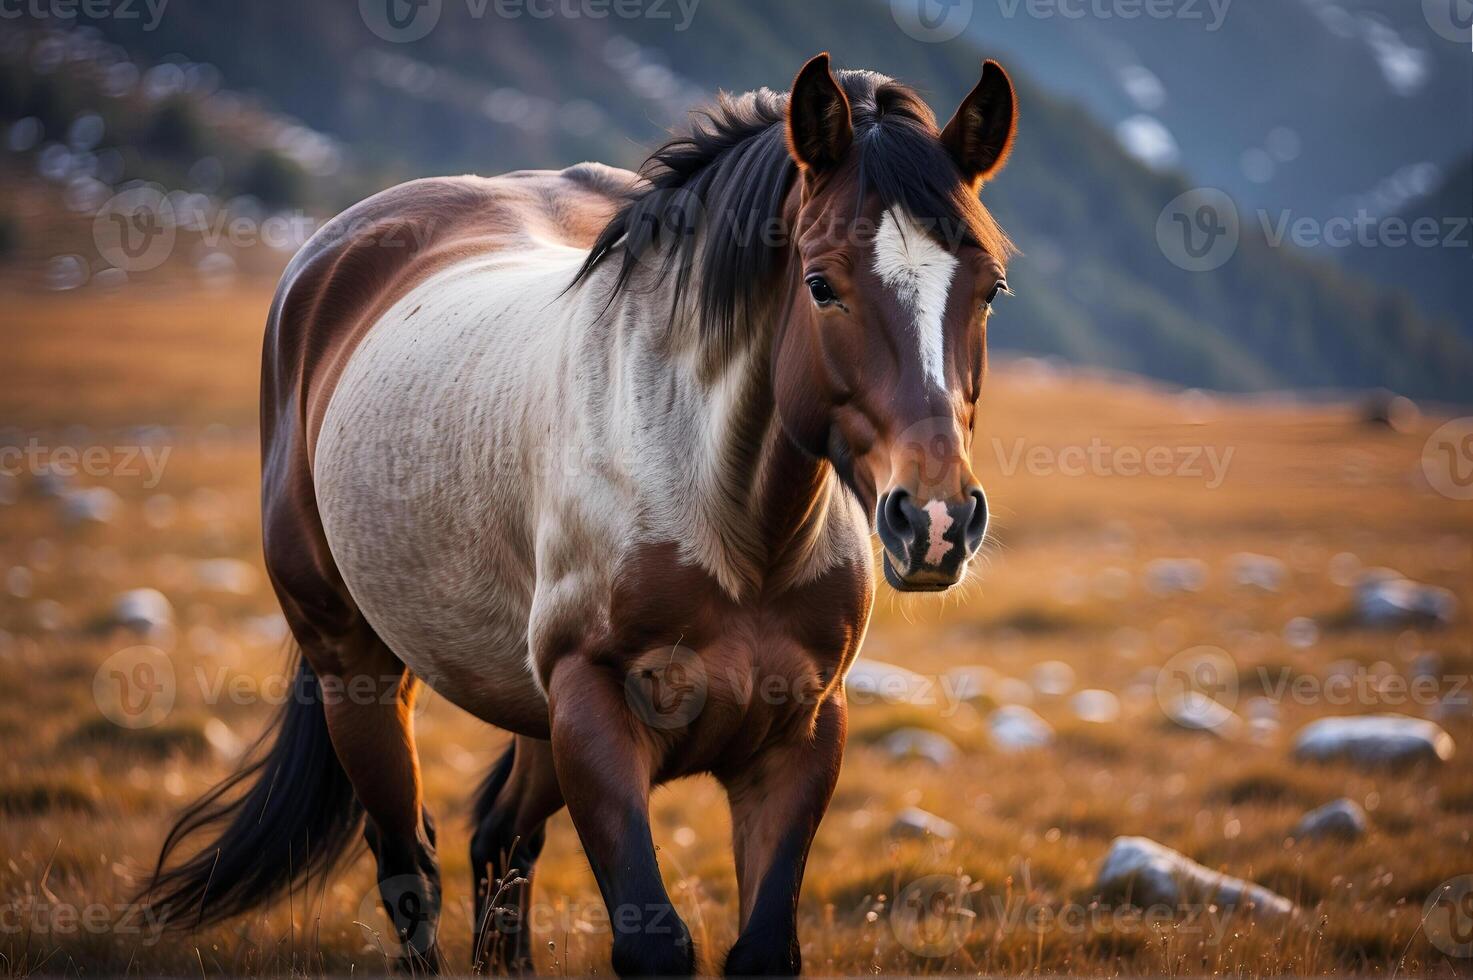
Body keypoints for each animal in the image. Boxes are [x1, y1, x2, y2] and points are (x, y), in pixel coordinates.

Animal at [140, 51, 1013, 972]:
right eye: (821, 285)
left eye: (989, 290)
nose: (936, 523)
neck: (733, 532)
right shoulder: (594, 714)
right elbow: (652, 941)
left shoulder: (802, 735)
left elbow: (760, 946)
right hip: (357, 672)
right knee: (407, 862)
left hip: (531, 718)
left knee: (499, 844)